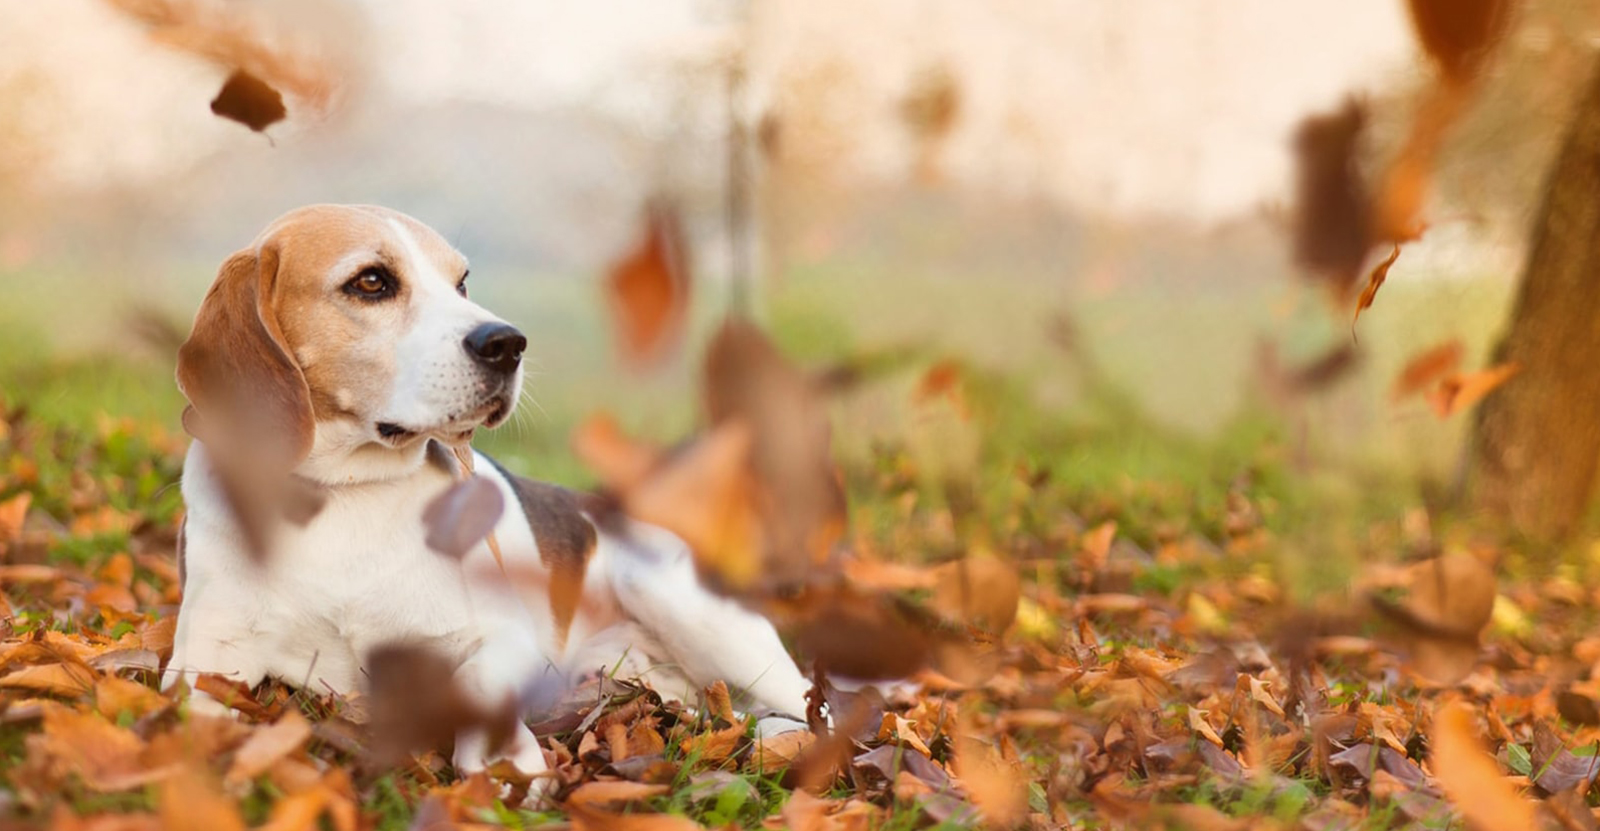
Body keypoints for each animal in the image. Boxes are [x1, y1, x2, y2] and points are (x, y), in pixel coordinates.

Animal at [165, 204, 812, 784]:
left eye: (461, 282)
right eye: (371, 281)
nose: (508, 342)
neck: (346, 492)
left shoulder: (502, 637)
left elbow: (474, 681)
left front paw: (503, 762)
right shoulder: (205, 656)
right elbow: (190, 713)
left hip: (666, 591)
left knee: (807, 703)